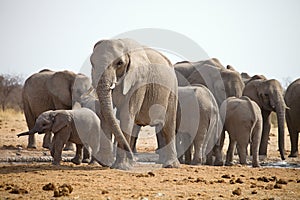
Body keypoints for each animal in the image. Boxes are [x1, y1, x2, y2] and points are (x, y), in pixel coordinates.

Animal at [91, 38, 180, 170]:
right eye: (92, 63)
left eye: (119, 63)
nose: (134, 157)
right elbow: (103, 113)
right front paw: (106, 163)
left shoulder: (139, 81)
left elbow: (126, 115)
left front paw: (121, 167)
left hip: (172, 89)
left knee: (168, 125)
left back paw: (170, 165)